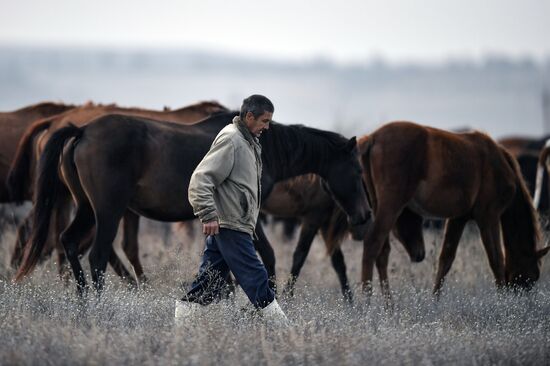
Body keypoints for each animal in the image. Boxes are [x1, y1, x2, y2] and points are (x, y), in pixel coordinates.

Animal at [16, 113, 370, 296]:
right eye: (357, 170)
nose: (365, 215)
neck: (265, 147)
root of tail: (83, 130)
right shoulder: (251, 216)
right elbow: (267, 257)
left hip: (88, 210)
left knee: (69, 243)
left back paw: (83, 303)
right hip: (108, 212)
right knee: (97, 257)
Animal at [356, 121, 548, 296]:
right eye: (533, 276)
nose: (522, 298)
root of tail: (372, 138)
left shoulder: (459, 218)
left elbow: (445, 260)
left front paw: (435, 301)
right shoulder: (488, 217)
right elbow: (496, 260)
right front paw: (502, 302)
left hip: (380, 207)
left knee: (382, 252)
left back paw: (388, 306)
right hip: (391, 207)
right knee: (372, 244)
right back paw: (367, 302)